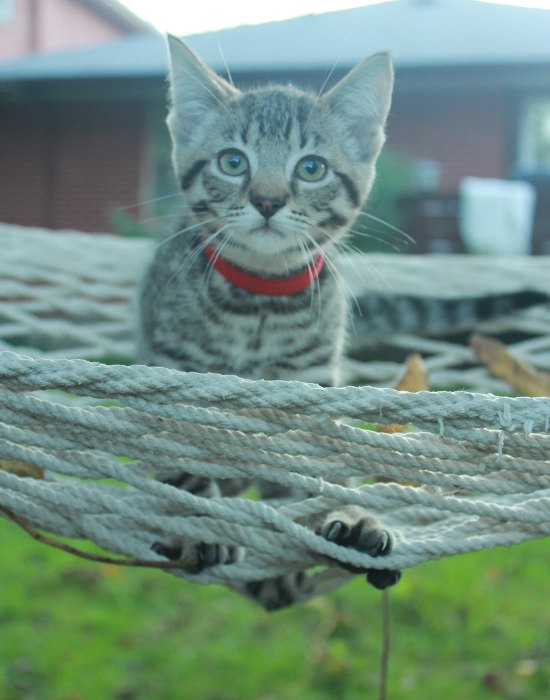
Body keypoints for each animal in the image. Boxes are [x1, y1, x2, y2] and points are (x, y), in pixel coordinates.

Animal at [140, 35, 404, 608]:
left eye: (311, 168)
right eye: (233, 161)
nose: (266, 200)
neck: (258, 303)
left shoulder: (310, 383)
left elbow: (313, 464)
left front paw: (342, 512)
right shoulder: (171, 376)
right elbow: (182, 459)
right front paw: (198, 519)